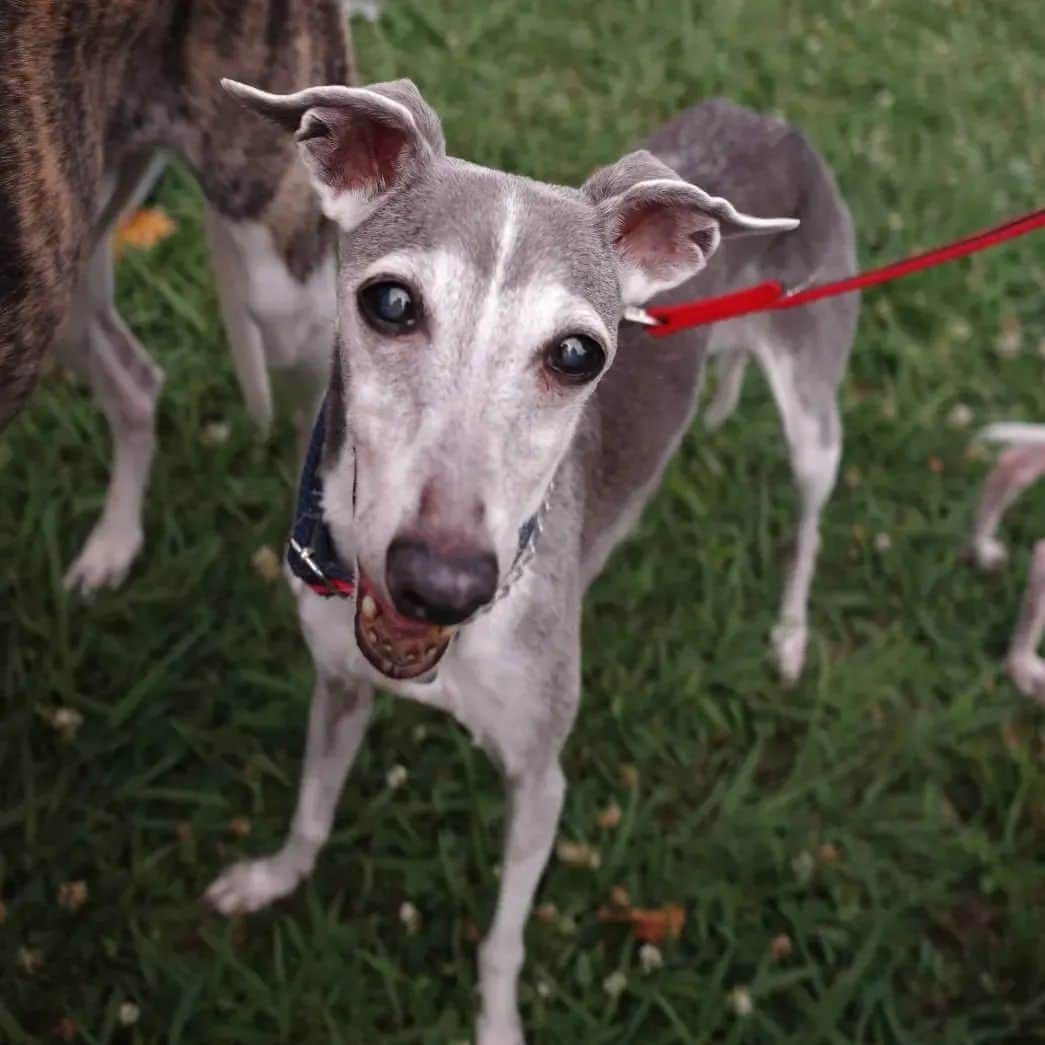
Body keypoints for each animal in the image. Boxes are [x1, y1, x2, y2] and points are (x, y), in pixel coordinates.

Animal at [205, 75, 856, 1045]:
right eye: (390, 303)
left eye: (577, 353)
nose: (440, 586)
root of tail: (770, 119)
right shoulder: (340, 683)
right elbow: (313, 810)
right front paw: (271, 877)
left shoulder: (541, 776)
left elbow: (502, 941)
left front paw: (498, 1021)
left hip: (815, 416)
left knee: (808, 520)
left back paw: (787, 632)